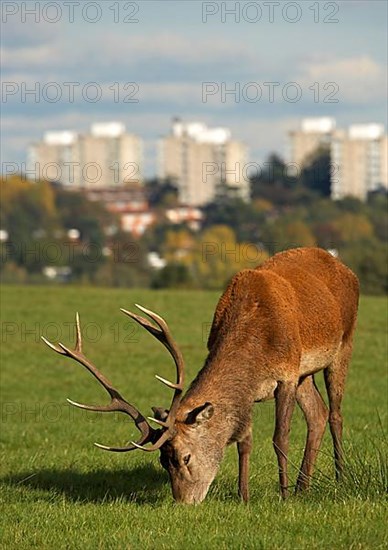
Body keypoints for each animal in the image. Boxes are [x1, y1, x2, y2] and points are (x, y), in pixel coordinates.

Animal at [42, 249, 358, 504]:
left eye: (185, 456)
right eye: (162, 461)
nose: (184, 502)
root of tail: (344, 266)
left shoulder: (287, 374)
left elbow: (279, 438)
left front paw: (283, 496)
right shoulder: (252, 390)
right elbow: (244, 440)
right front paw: (244, 497)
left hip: (343, 343)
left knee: (335, 414)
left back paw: (340, 478)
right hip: (307, 374)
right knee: (317, 414)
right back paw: (304, 488)